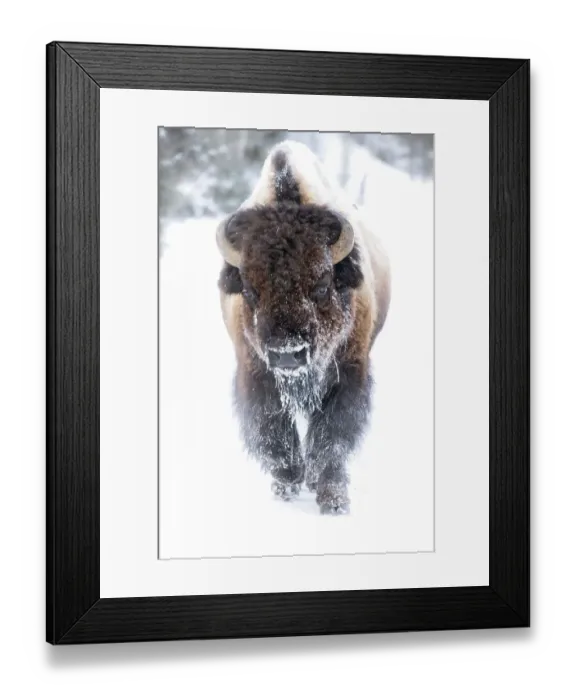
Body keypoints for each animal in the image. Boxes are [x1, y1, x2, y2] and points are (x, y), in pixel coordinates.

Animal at [216, 141, 391, 514]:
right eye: (249, 291)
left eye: (322, 285)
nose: (287, 354)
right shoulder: (256, 373)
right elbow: (275, 432)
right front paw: (286, 483)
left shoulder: (348, 372)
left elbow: (333, 435)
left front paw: (334, 499)